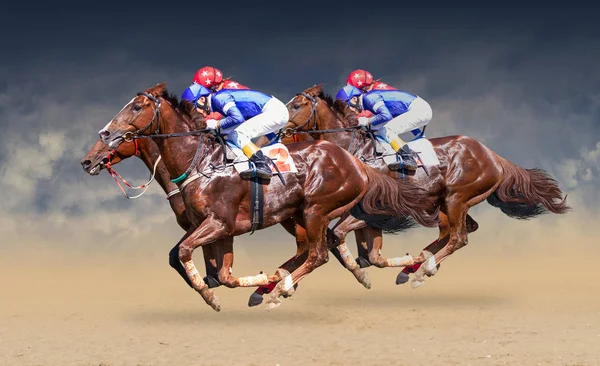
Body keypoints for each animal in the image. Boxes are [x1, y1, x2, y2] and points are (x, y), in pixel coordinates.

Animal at [96, 83, 438, 312]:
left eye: (137, 107)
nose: (104, 135)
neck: (201, 161)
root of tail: (354, 164)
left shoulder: (218, 224)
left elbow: (187, 256)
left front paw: (214, 295)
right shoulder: (216, 228)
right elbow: (214, 271)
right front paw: (237, 286)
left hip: (316, 210)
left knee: (320, 252)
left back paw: (280, 289)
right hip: (303, 215)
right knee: (322, 247)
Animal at [274, 84, 568, 288]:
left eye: (296, 104)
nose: (279, 132)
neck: (354, 152)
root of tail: (492, 155)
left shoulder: (374, 210)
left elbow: (341, 238)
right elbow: (367, 254)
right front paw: (365, 271)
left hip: (456, 198)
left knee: (459, 237)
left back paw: (421, 270)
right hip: (450, 202)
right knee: (463, 230)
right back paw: (419, 265)